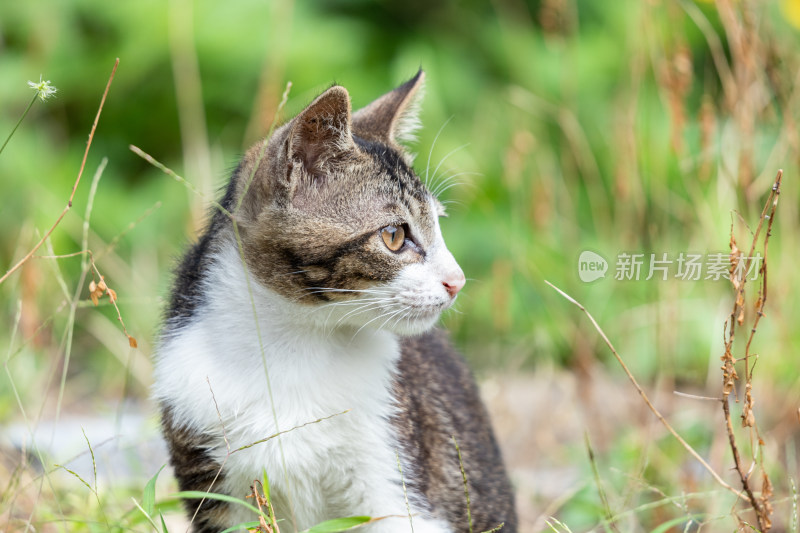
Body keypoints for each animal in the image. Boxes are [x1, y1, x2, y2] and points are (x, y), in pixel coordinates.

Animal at [155, 71, 520, 532]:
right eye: (394, 235)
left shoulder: (393, 482)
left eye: (438, 226)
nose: (457, 281)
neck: (292, 346)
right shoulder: (214, 485)